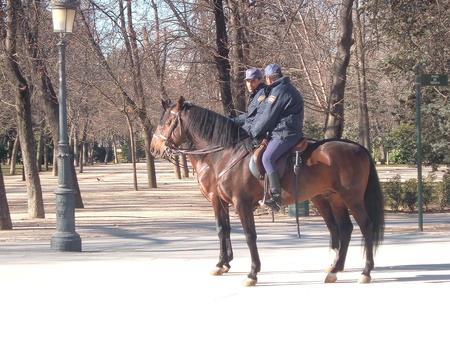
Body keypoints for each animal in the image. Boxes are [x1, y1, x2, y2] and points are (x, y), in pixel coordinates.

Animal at [150, 96, 384, 286]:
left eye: (168, 122)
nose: (153, 148)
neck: (223, 155)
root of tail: (358, 147)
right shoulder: (223, 202)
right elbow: (224, 230)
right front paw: (223, 264)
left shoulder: (238, 203)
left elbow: (247, 235)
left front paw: (251, 273)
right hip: (333, 199)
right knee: (344, 229)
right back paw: (335, 270)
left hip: (352, 199)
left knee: (365, 226)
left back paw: (365, 272)